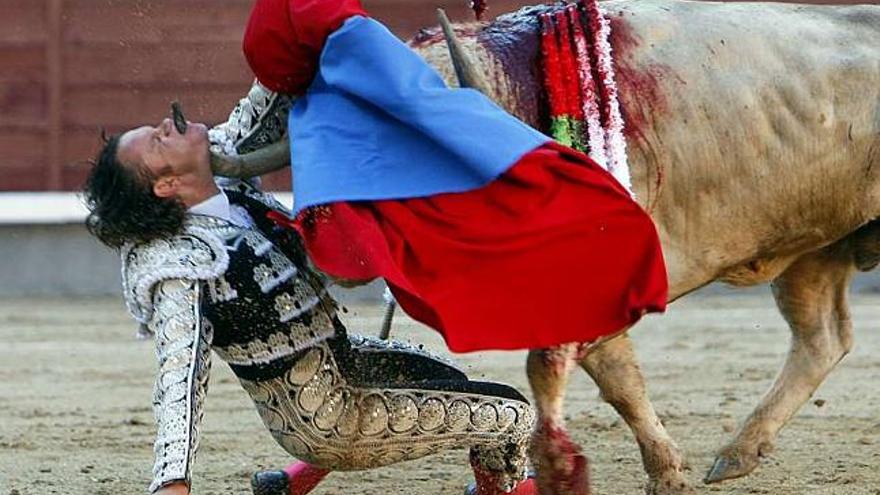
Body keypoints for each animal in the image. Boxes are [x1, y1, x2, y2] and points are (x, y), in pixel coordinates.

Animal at [211, 1, 880, 494]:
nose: (331, 239)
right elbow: (608, 375)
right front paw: (659, 471)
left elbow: (569, 367)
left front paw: (591, 470)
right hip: (814, 247)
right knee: (822, 338)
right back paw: (738, 454)